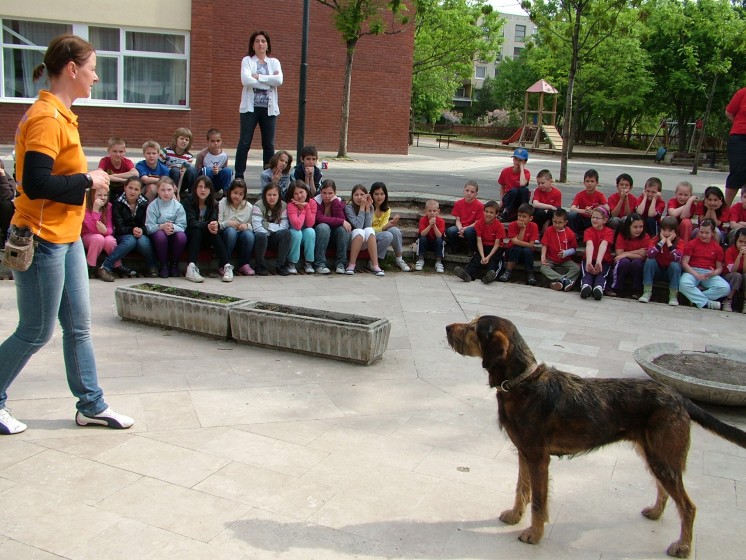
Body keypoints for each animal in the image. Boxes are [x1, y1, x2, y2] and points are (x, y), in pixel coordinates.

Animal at [446, 315, 746, 558]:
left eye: (474, 328)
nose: (447, 327)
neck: (523, 382)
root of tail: (679, 397)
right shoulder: (523, 453)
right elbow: (522, 489)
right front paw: (514, 516)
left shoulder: (538, 458)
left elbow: (539, 501)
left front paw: (534, 534)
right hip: (653, 455)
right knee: (664, 490)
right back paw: (655, 512)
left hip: (663, 458)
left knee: (688, 506)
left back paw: (682, 547)